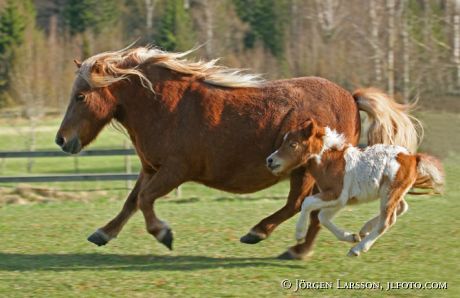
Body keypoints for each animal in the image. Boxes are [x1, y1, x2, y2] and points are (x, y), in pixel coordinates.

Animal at [54, 45, 420, 260]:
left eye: (81, 97)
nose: (61, 139)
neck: (164, 106)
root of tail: (351, 97)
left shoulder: (174, 171)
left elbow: (144, 201)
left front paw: (163, 234)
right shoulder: (151, 168)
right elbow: (131, 201)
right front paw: (103, 233)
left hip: (308, 169)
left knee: (304, 207)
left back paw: (286, 245)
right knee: (308, 208)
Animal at [268, 120, 444, 258]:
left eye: (293, 144)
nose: (270, 160)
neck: (329, 161)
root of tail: (413, 157)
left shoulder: (337, 194)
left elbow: (307, 202)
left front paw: (299, 234)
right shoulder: (339, 200)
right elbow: (323, 217)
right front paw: (350, 236)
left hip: (390, 192)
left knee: (387, 221)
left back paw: (357, 249)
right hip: (391, 192)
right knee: (401, 208)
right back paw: (364, 229)